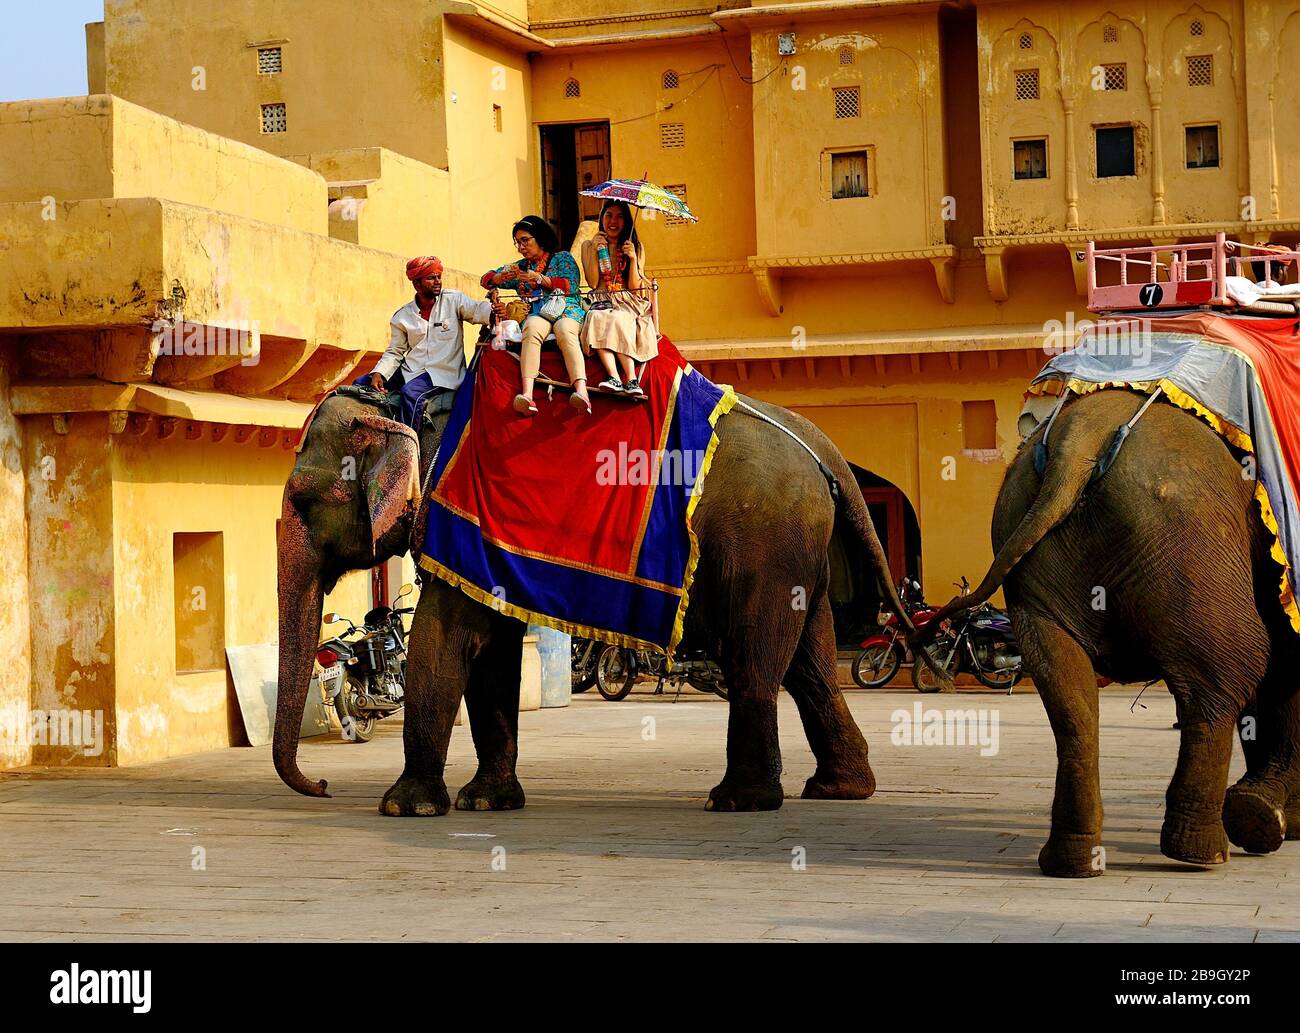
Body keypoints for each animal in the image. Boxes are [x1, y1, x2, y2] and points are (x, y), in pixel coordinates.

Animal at [274, 387, 920, 816]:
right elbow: (492, 652)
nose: (323, 786)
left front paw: (405, 808)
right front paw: (488, 802)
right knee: (812, 662)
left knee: (757, 658)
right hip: (796, 550)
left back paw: (740, 801)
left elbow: (444, 640)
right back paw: (838, 791)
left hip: (765, 542)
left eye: (303, 500)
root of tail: (818, 445)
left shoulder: (459, 519)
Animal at [918, 388, 1300, 877]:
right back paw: (1204, 853)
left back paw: (1073, 863)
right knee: (1234, 667)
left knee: (1068, 693)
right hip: (1187, 537)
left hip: (1027, 539)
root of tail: (1079, 442)